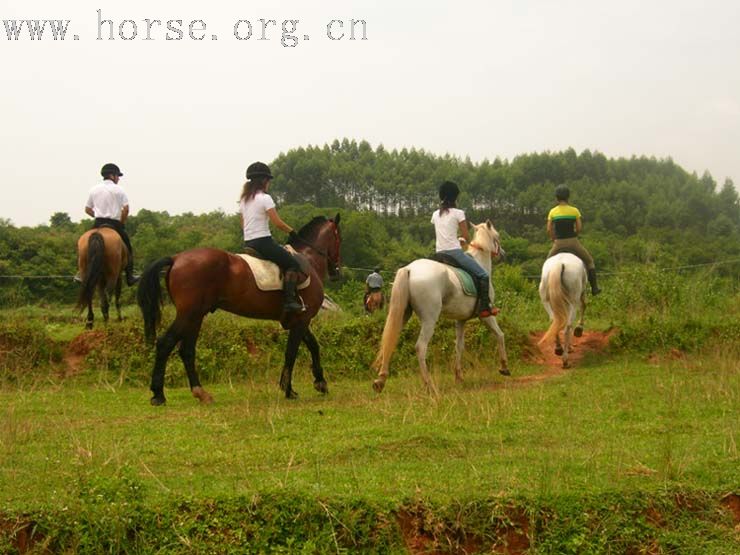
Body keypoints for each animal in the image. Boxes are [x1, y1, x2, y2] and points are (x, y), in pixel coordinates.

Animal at [137, 215, 342, 406]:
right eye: (339, 238)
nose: (336, 272)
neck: (310, 260)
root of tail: (176, 258)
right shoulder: (302, 319)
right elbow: (292, 353)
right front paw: (289, 389)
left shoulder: (299, 320)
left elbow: (313, 345)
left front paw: (320, 382)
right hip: (188, 314)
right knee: (165, 343)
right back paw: (158, 394)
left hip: (196, 317)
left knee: (186, 350)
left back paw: (200, 393)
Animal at [370, 219, 508, 394]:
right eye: (497, 236)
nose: (503, 254)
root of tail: (409, 269)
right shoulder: (486, 315)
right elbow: (500, 334)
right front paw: (504, 367)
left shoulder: (461, 319)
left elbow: (459, 346)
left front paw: (458, 377)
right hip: (430, 318)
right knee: (420, 347)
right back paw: (429, 385)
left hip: (402, 314)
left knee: (389, 342)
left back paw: (380, 381)